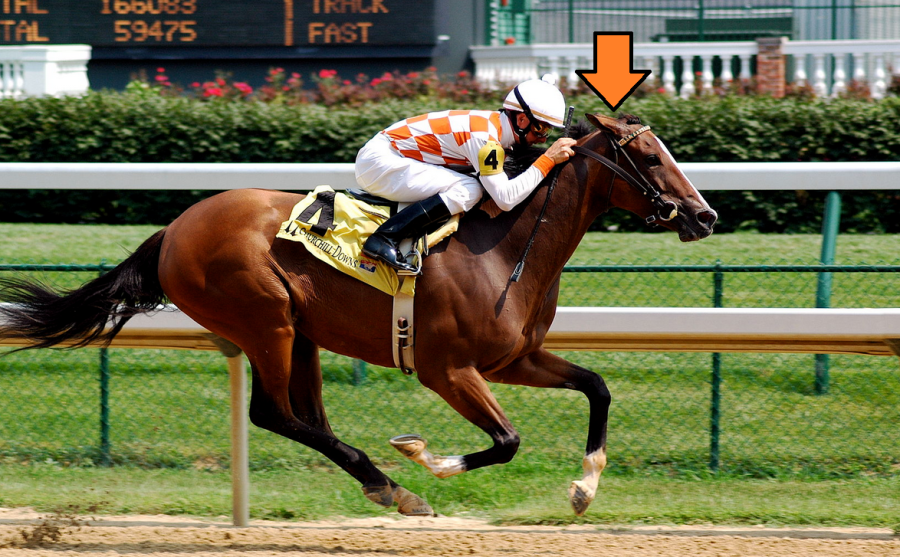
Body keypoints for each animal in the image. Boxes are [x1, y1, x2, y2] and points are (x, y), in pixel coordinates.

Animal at [0, 113, 717, 517]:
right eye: (649, 156)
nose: (705, 215)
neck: (506, 245)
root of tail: (174, 228)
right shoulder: (448, 370)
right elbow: (507, 441)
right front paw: (423, 456)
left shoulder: (512, 359)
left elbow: (597, 387)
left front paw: (584, 489)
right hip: (265, 320)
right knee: (274, 414)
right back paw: (395, 486)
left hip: (301, 334)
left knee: (305, 417)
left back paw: (384, 486)